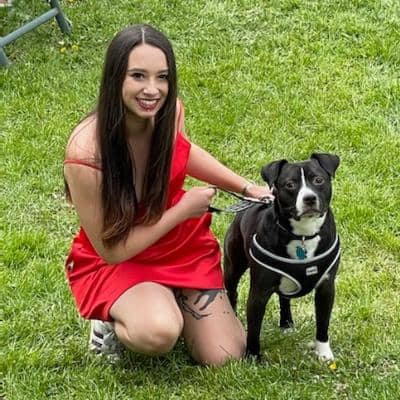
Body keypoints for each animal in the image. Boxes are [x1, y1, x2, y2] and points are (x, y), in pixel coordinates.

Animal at [224, 153, 340, 361]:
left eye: (318, 180)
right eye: (290, 185)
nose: (309, 198)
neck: (303, 234)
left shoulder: (326, 288)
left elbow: (323, 323)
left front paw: (324, 354)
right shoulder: (259, 292)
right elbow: (254, 329)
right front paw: (253, 357)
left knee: (284, 297)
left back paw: (286, 323)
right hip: (233, 266)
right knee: (232, 292)